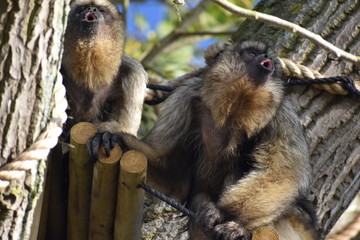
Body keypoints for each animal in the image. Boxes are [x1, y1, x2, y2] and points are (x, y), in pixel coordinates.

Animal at [90, 40, 318, 239]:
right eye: (252, 53)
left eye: (268, 56)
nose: (266, 57)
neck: (236, 105)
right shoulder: (185, 97)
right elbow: (169, 171)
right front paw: (119, 140)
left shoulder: (282, 114)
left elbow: (281, 174)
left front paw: (227, 217)